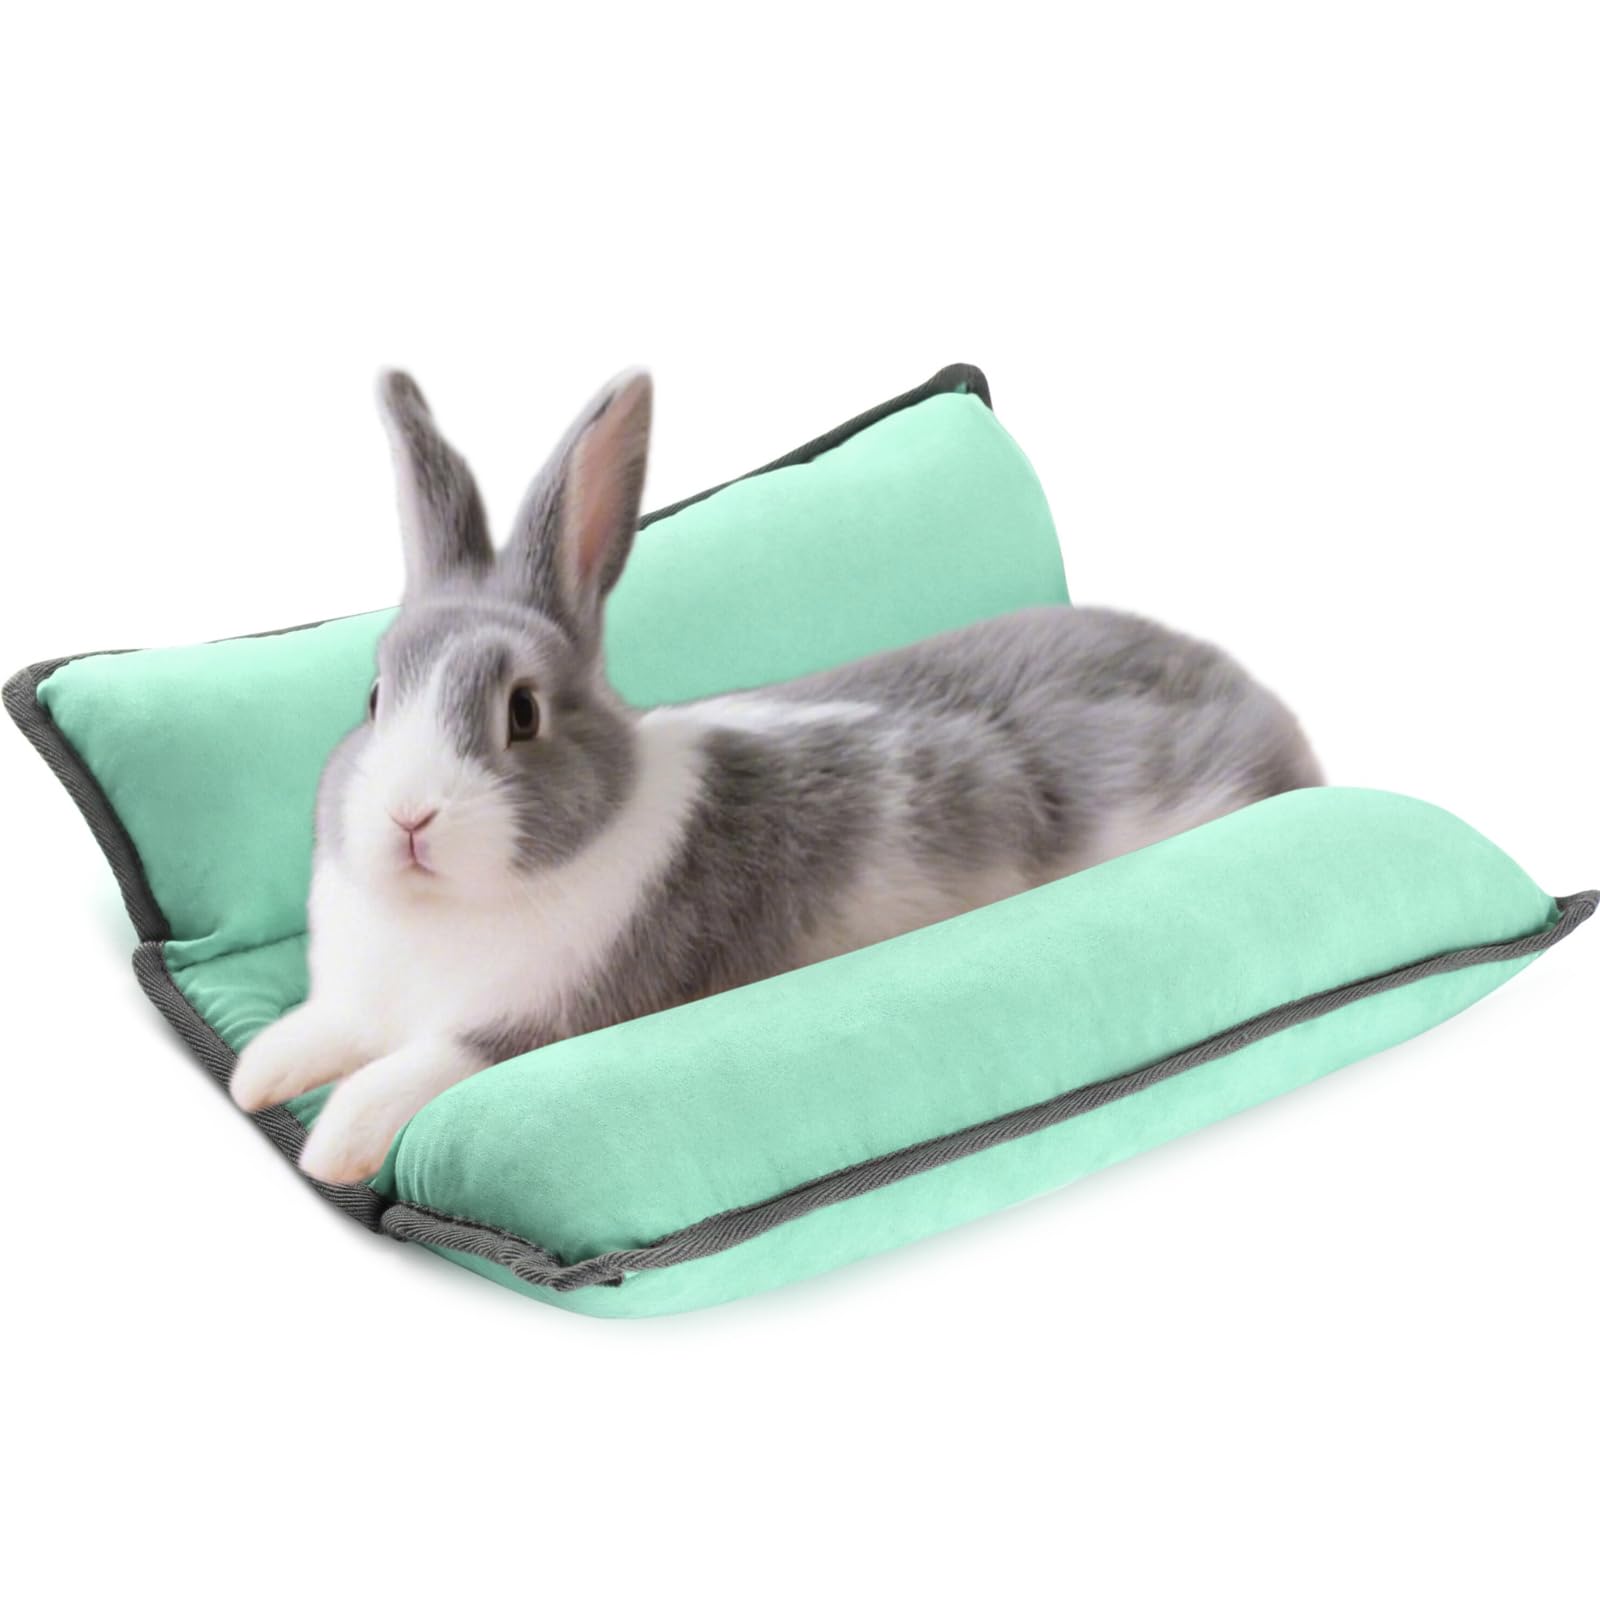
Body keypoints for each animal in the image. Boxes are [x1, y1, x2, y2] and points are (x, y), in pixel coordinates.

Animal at [229, 368, 1323, 1185]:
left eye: (523, 713)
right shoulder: (360, 1004)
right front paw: (255, 1077)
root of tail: (1258, 707)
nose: (409, 820)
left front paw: (332, 1146)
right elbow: (317, 1032)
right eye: (376, 697)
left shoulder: (542, 1023)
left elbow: (422, 1069)